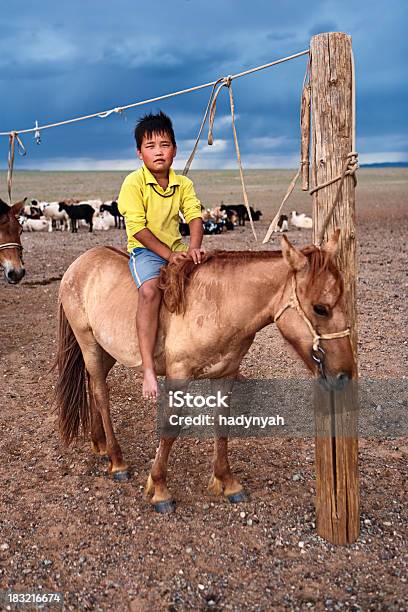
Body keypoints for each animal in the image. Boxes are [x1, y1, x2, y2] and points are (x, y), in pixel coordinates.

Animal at [55, 231, 356, 512]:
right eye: (320, 308)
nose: (345, 375)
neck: (219, 305)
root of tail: (80, 263)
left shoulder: (225, 375)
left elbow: (222, 425)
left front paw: (227, 482)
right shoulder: (179, 376)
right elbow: (170, 427)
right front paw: (160, 488)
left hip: (105, 351)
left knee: (93, 386)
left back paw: (100, 444)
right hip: (88, 344)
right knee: (101, 395)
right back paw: (117, 461)